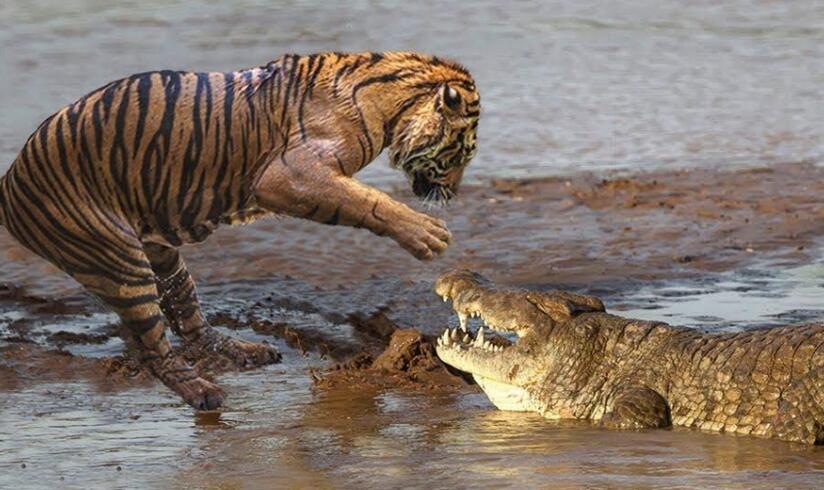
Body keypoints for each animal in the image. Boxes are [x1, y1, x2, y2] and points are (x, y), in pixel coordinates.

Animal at [0, 52, 480, 410]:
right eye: (461, 153)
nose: (454, 194)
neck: (392, 100)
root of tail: (9, 182)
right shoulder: (287, 175)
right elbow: (366, 201)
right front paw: (427, 234)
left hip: (160, 255)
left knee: (187, 316)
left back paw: (246, 352)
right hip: (119, 264)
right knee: (154, 349)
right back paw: (203, 393)